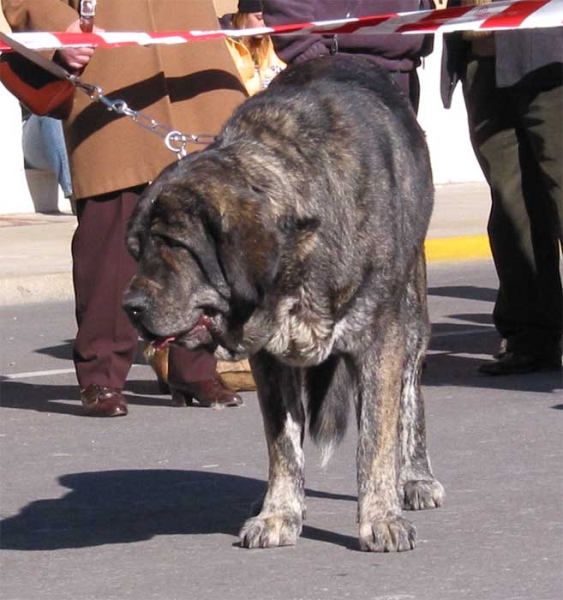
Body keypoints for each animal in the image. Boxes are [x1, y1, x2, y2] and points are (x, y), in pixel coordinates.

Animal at [123, 55, 446, 552]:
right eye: (136, 251)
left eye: (175, 245)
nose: (130, 306)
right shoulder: (270, 361)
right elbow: (282, 443)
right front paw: (279, 513)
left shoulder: (381, 340)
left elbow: (376, 439)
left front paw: (380, 516)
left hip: (411, 314)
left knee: (410, 393)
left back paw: (414, 477)